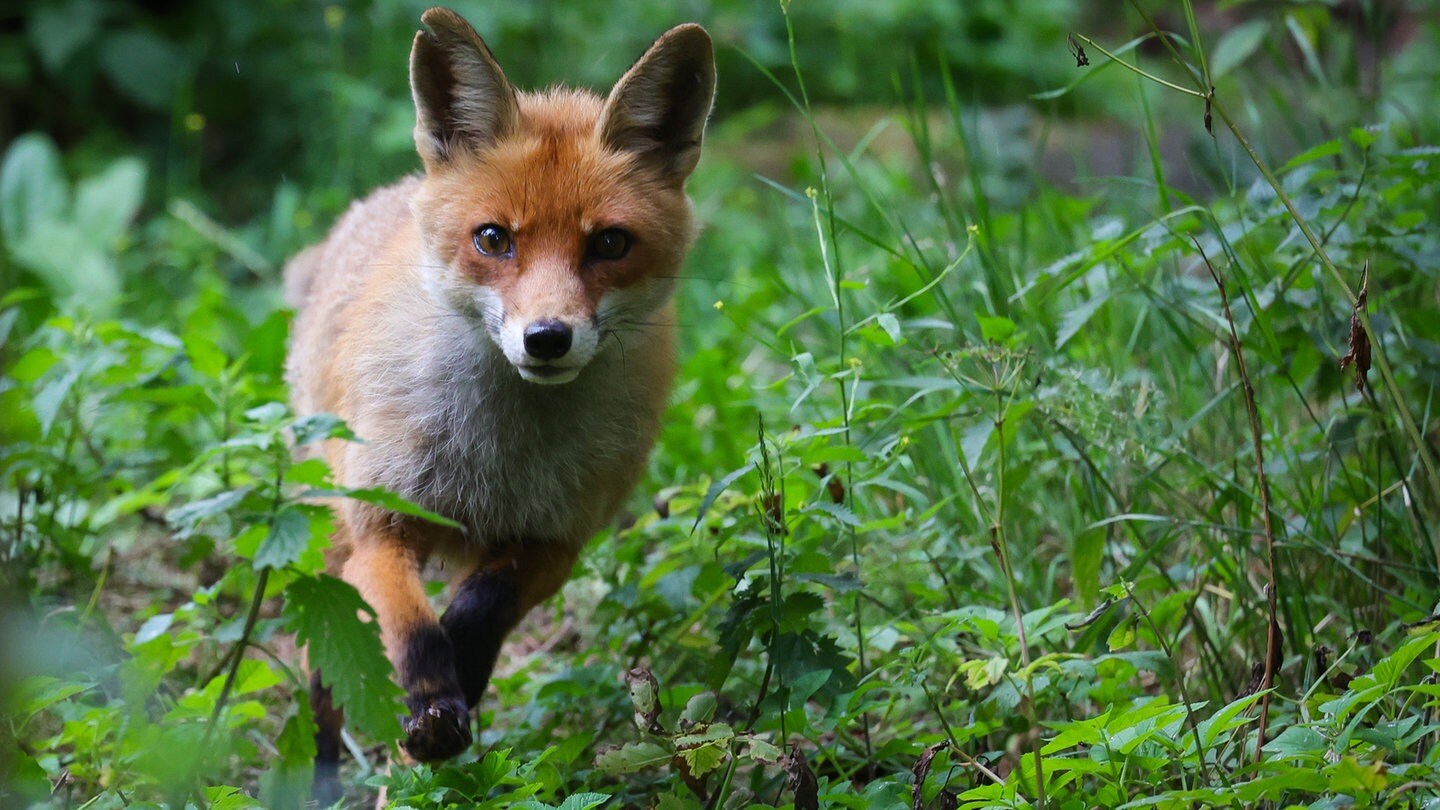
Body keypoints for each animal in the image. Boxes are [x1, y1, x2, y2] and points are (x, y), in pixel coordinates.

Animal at [280, 6, 714, 795]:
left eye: (610, 244)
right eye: (493, 239)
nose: (546, 338)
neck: (498, 459)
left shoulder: (555, 541)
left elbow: (481, 610)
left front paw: (461, 674)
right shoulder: (381, 520)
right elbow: (409, 625)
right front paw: (430, 703)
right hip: (326, 537)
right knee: (322, 680)